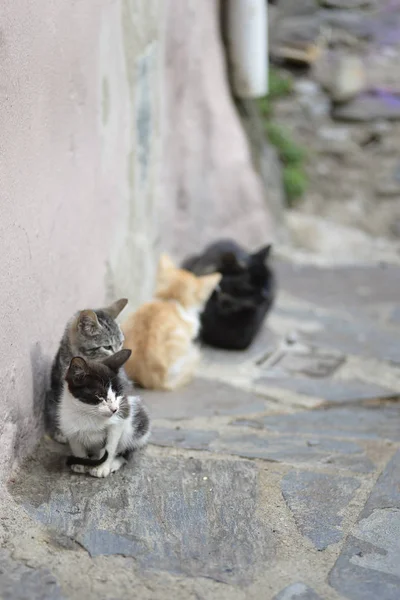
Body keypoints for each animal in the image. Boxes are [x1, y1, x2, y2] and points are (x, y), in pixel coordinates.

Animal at [57, 346, 149, 478]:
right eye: (100, 395)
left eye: (118, 394)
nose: (114, 409)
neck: (89, 413)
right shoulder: (68, 423)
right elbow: (76, 444)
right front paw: (81, 463)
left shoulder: (118, 421)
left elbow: (110, 447)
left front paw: (102, 468)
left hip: (137, 428)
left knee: (128, 450)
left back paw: (115, 463)